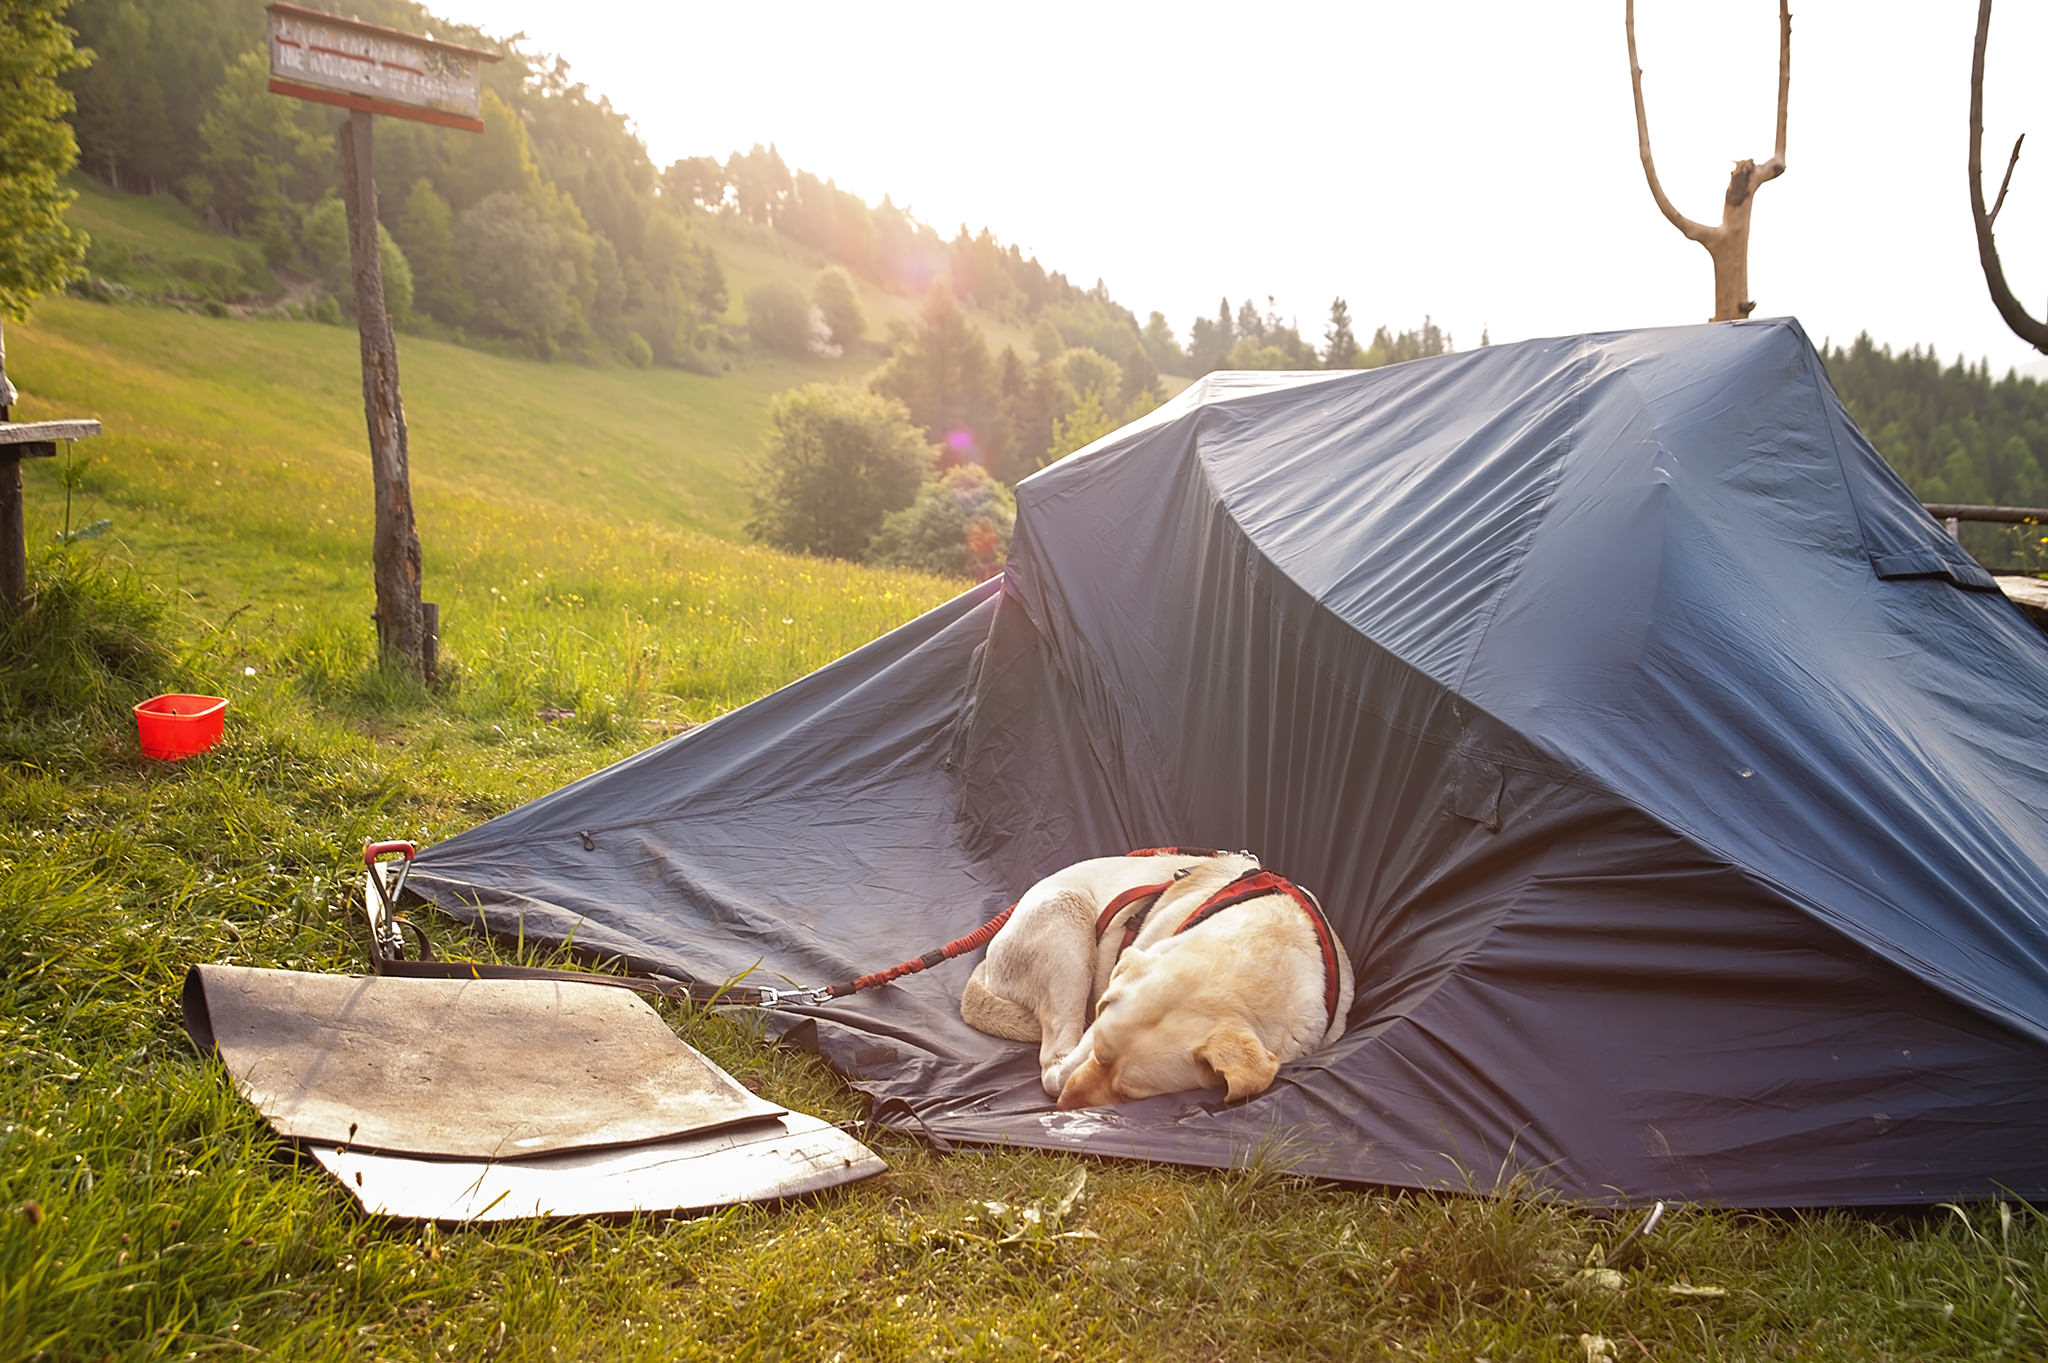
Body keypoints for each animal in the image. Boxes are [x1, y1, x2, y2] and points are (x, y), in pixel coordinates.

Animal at [962, 851, 1359, 1105]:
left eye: (1129, 1094)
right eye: (1100, 1052)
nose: (1065, 1104)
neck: (1263, 951)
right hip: (1067, 919)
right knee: (1053, 1052)